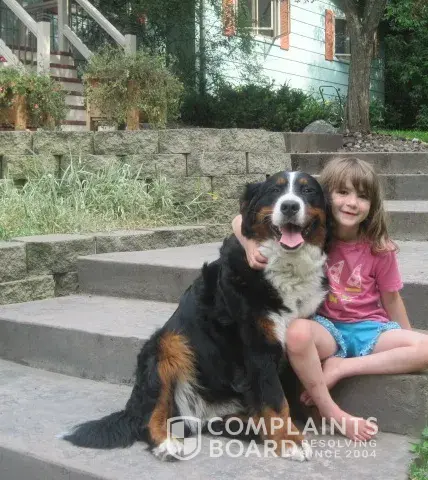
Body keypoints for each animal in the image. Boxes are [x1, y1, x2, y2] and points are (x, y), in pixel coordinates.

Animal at [62, 170, 329, 462]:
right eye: (275, 191)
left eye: (307, 191)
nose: (289, 206)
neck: (286, 268)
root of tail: (200, 414)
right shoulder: (258, 347)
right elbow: (275, 399)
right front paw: (289, 440)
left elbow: (295, 391)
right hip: (166, 345)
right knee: (150, 417)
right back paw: (168, 443)